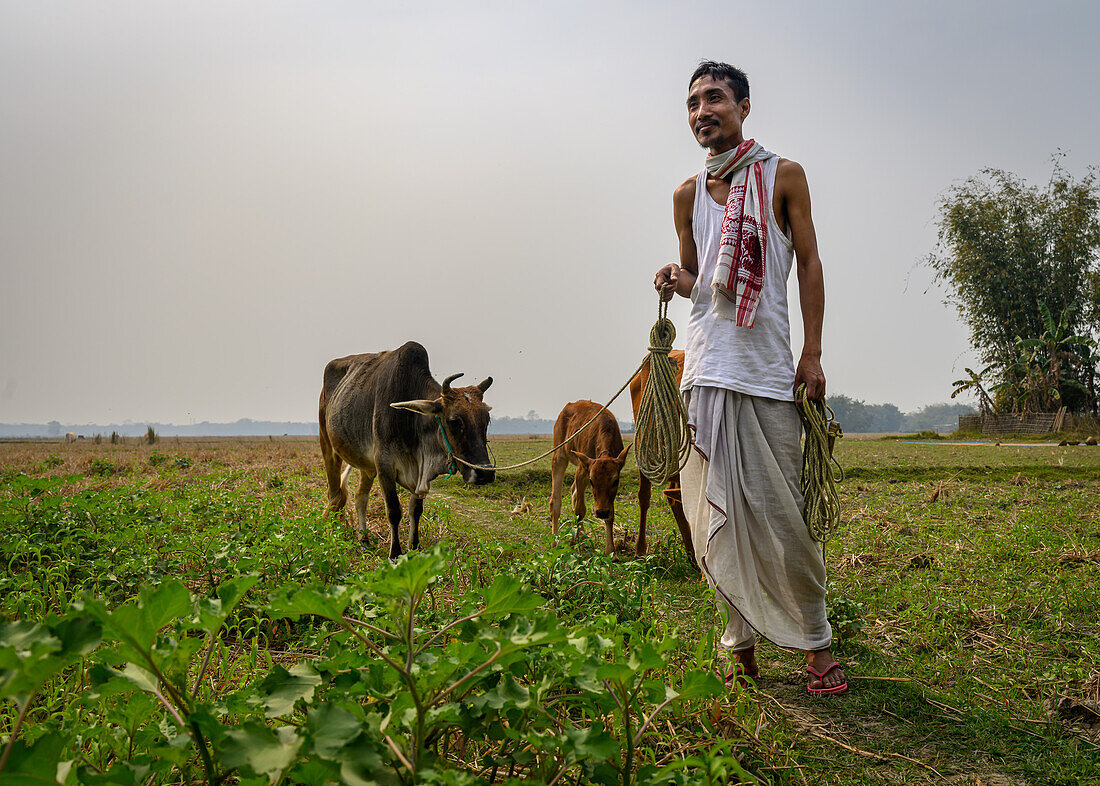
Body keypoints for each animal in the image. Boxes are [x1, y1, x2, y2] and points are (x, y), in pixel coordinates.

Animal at [554, 402, 633, 556]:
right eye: (592, 481)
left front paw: (610, 552)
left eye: (615, 481)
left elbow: (611, 515)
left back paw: (583, 537)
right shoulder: (582, 470)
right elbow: (580, 510)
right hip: (559, 455)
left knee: (573, 492)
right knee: (556, 501)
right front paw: (573, 544)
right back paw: (555, 541)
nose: (601, 512)